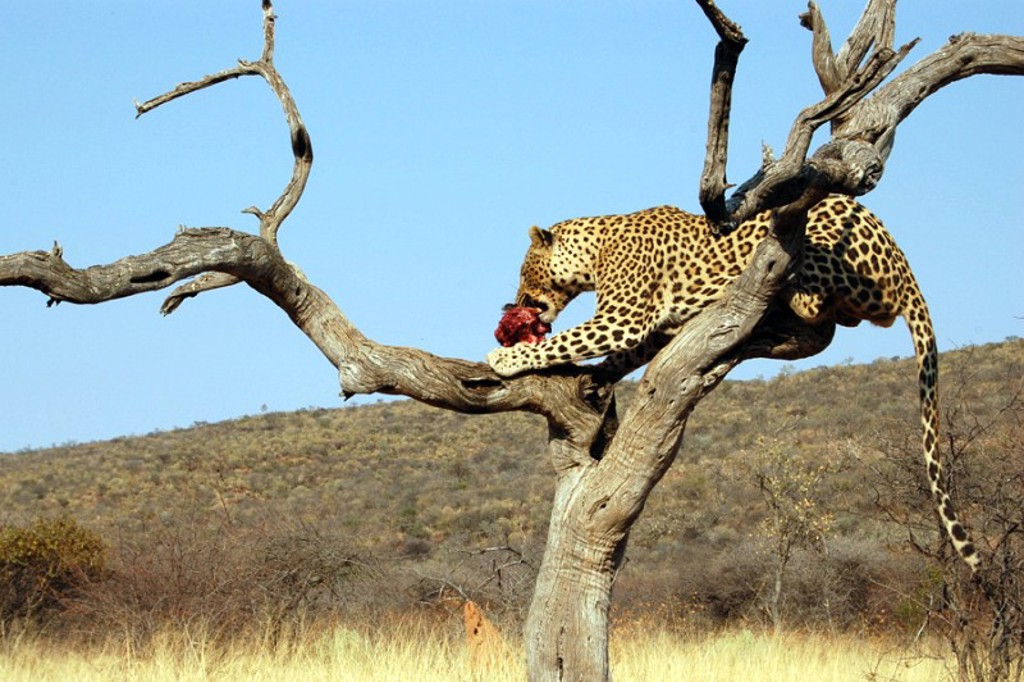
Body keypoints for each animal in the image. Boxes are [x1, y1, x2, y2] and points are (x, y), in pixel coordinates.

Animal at [486, 194, 980, 573]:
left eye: (525, 269)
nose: (515, 301)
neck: (596, 250)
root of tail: (902, 260)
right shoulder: (653, 328)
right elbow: (622, 355)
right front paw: (597, 375)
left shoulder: (622, 318)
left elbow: (569, 340)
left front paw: (507, 358)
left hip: (828, 244)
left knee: (832, 300)